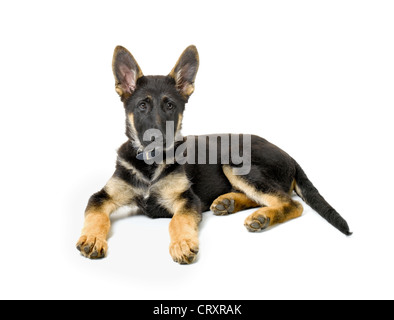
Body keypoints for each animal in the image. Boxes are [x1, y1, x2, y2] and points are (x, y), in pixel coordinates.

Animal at [76, 45, 350, 264]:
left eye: (170, 106)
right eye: (142, 106)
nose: (159, 140)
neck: (150, 167)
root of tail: (291, 156)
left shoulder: (188, 200)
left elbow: (178, 221)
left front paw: (182, 243)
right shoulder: (102, 196)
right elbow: (96, 216)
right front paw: (92, 237)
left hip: (236, 161)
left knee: (290, 203)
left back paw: (261, 216)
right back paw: (229, 202)